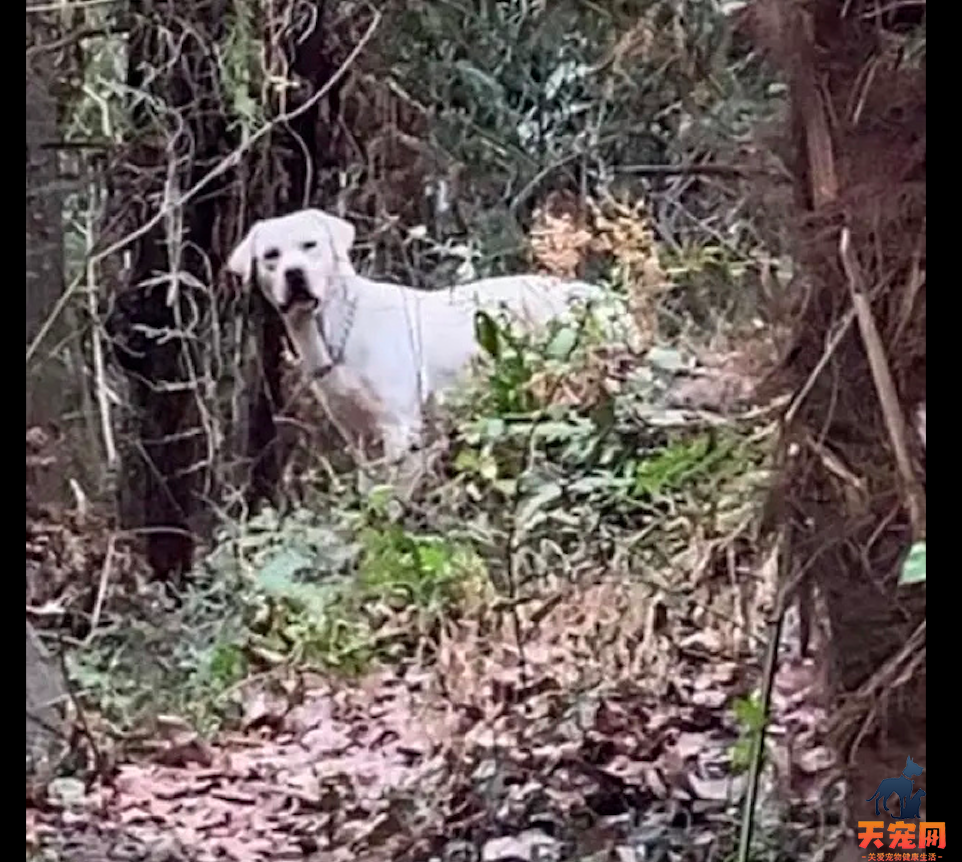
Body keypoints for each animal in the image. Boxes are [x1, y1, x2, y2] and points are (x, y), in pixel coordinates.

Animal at [226, 208, 600, 462]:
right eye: (271, 256)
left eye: (310, 245)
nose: (294, 274)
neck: (333, 331)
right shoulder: (357, 436)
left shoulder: (400, 427)